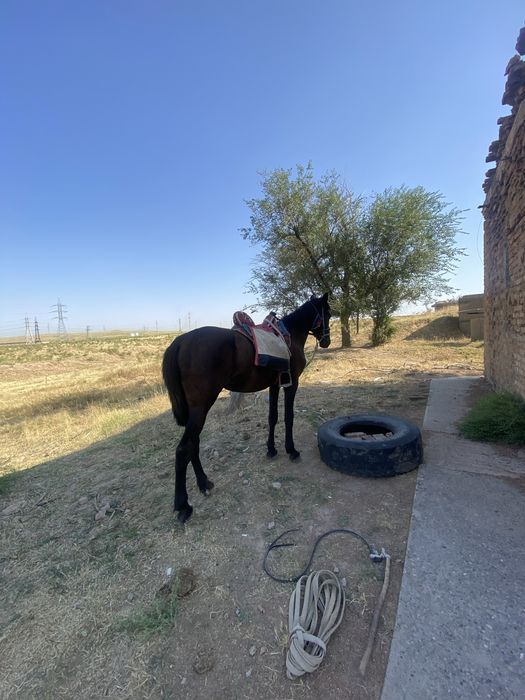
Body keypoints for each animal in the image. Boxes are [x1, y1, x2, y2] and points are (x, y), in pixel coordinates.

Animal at [162, 293, 331, 523]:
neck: (290, 335)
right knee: (183, 449)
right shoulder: (291, 384)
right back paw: (183, 506)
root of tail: (180, 342)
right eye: (328, 313)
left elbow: (272, 417)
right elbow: (288, 417)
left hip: (196, 410)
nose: (326, 341)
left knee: (193, 444)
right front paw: (291, 450)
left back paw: (204, 483)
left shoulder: (275, 385)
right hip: (201, 407)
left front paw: (271, 449)